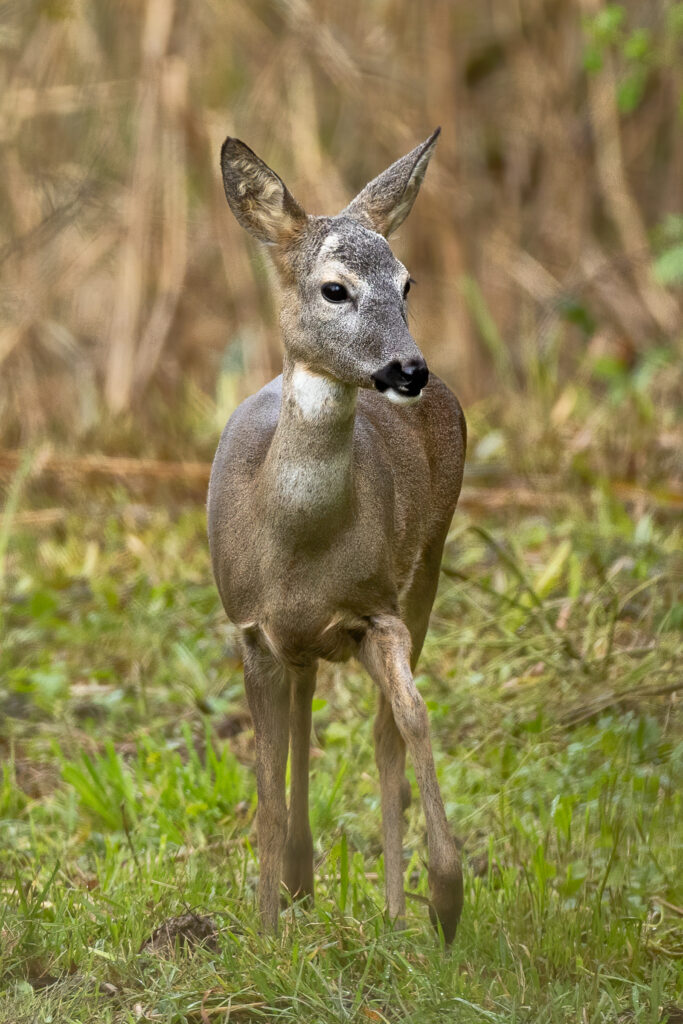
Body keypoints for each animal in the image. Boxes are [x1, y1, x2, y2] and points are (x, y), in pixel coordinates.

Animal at [208, 128, 466, 944]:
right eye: (334, 289)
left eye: (406, 283)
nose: (409, 369)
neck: (296, 546)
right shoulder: (251, 626)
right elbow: (265, 788)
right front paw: (265, 935)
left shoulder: (376, 607)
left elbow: (411, 719)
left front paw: (444, 896)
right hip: (299, 642)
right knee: (302, 709)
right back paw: (298, 886)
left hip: (429, 560)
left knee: (382, 730)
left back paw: (391, 912)